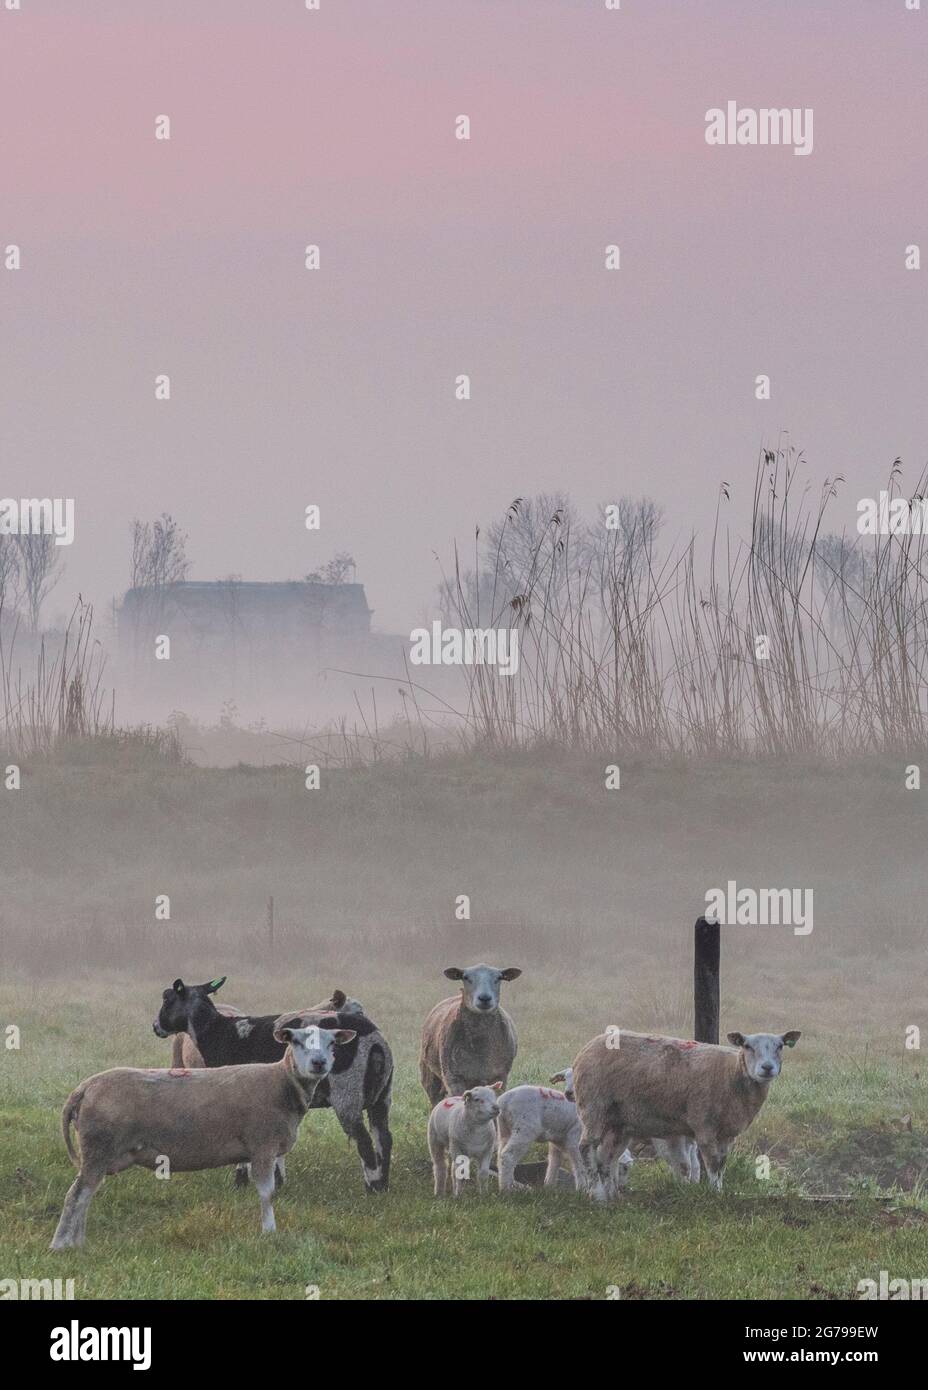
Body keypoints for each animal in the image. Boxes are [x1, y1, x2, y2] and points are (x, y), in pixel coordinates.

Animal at [50, 1023, 358, 1251]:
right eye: (295, 1041)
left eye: (332, 1044)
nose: (319, 1063)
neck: (282, 1083)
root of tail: (85, 1087)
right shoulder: (263, 1145)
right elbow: (267, 1193)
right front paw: (270, 1233)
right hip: (97, 1148)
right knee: (76, 1194)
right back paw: (61, 1245)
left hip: (98, 1154)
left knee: (86, 1194)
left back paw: (78, 1242)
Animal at [154, 978, 394, 1195]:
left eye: (167, 999)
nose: (156, 1027)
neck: (217, 1032)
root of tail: (375, 1043)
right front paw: (276, 1181)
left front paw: (242, 1181)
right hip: (382, 1096)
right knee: (384, 1138)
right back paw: (383, 1185)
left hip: (347, 1091)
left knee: (364, 1141)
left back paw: (372, 1188)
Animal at [419, 961, 522, 1100]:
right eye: (466, 977)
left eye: (499, 978)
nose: (484, 998)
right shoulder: (453, 1077)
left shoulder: (500, 1076)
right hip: (429, 1073)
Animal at [572, 1028, 800, 1200]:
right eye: (747, 1046)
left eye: (780, 1046)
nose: (767, 1068)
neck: (733, 1074)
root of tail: (586, 1048)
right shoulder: (704, 1125)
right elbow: (712, 1162)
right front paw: (714, 1193)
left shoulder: (727, 1133)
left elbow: (722, 1163)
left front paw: (720, 1190)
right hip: (594, 1106)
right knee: (586, 1147)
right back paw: (596, 1194)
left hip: (618, 1122)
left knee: (606, 1157)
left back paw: (611, 1195)